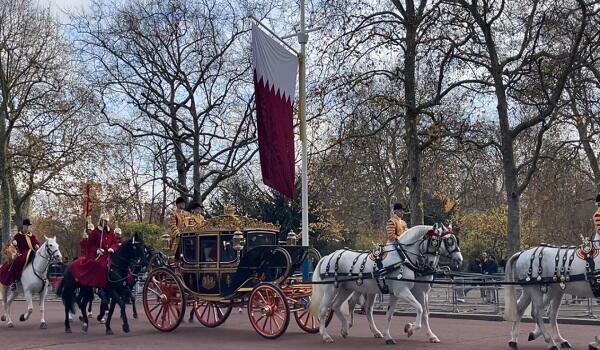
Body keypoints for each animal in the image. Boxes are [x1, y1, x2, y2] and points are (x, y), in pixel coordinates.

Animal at [310, 226, 464, 344]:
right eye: (446, 241)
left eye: (453, 240)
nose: (459, 259)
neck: (404, 258)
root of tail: (328, 256)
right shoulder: (403, 291)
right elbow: (420, 309)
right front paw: (410, 328)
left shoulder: (407, 293)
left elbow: (395, 314)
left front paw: (392, 335)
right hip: (331, 289)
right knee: (324, 309)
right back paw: (326, 335)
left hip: (346, 289)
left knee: (340, 306)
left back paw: (347, 330)